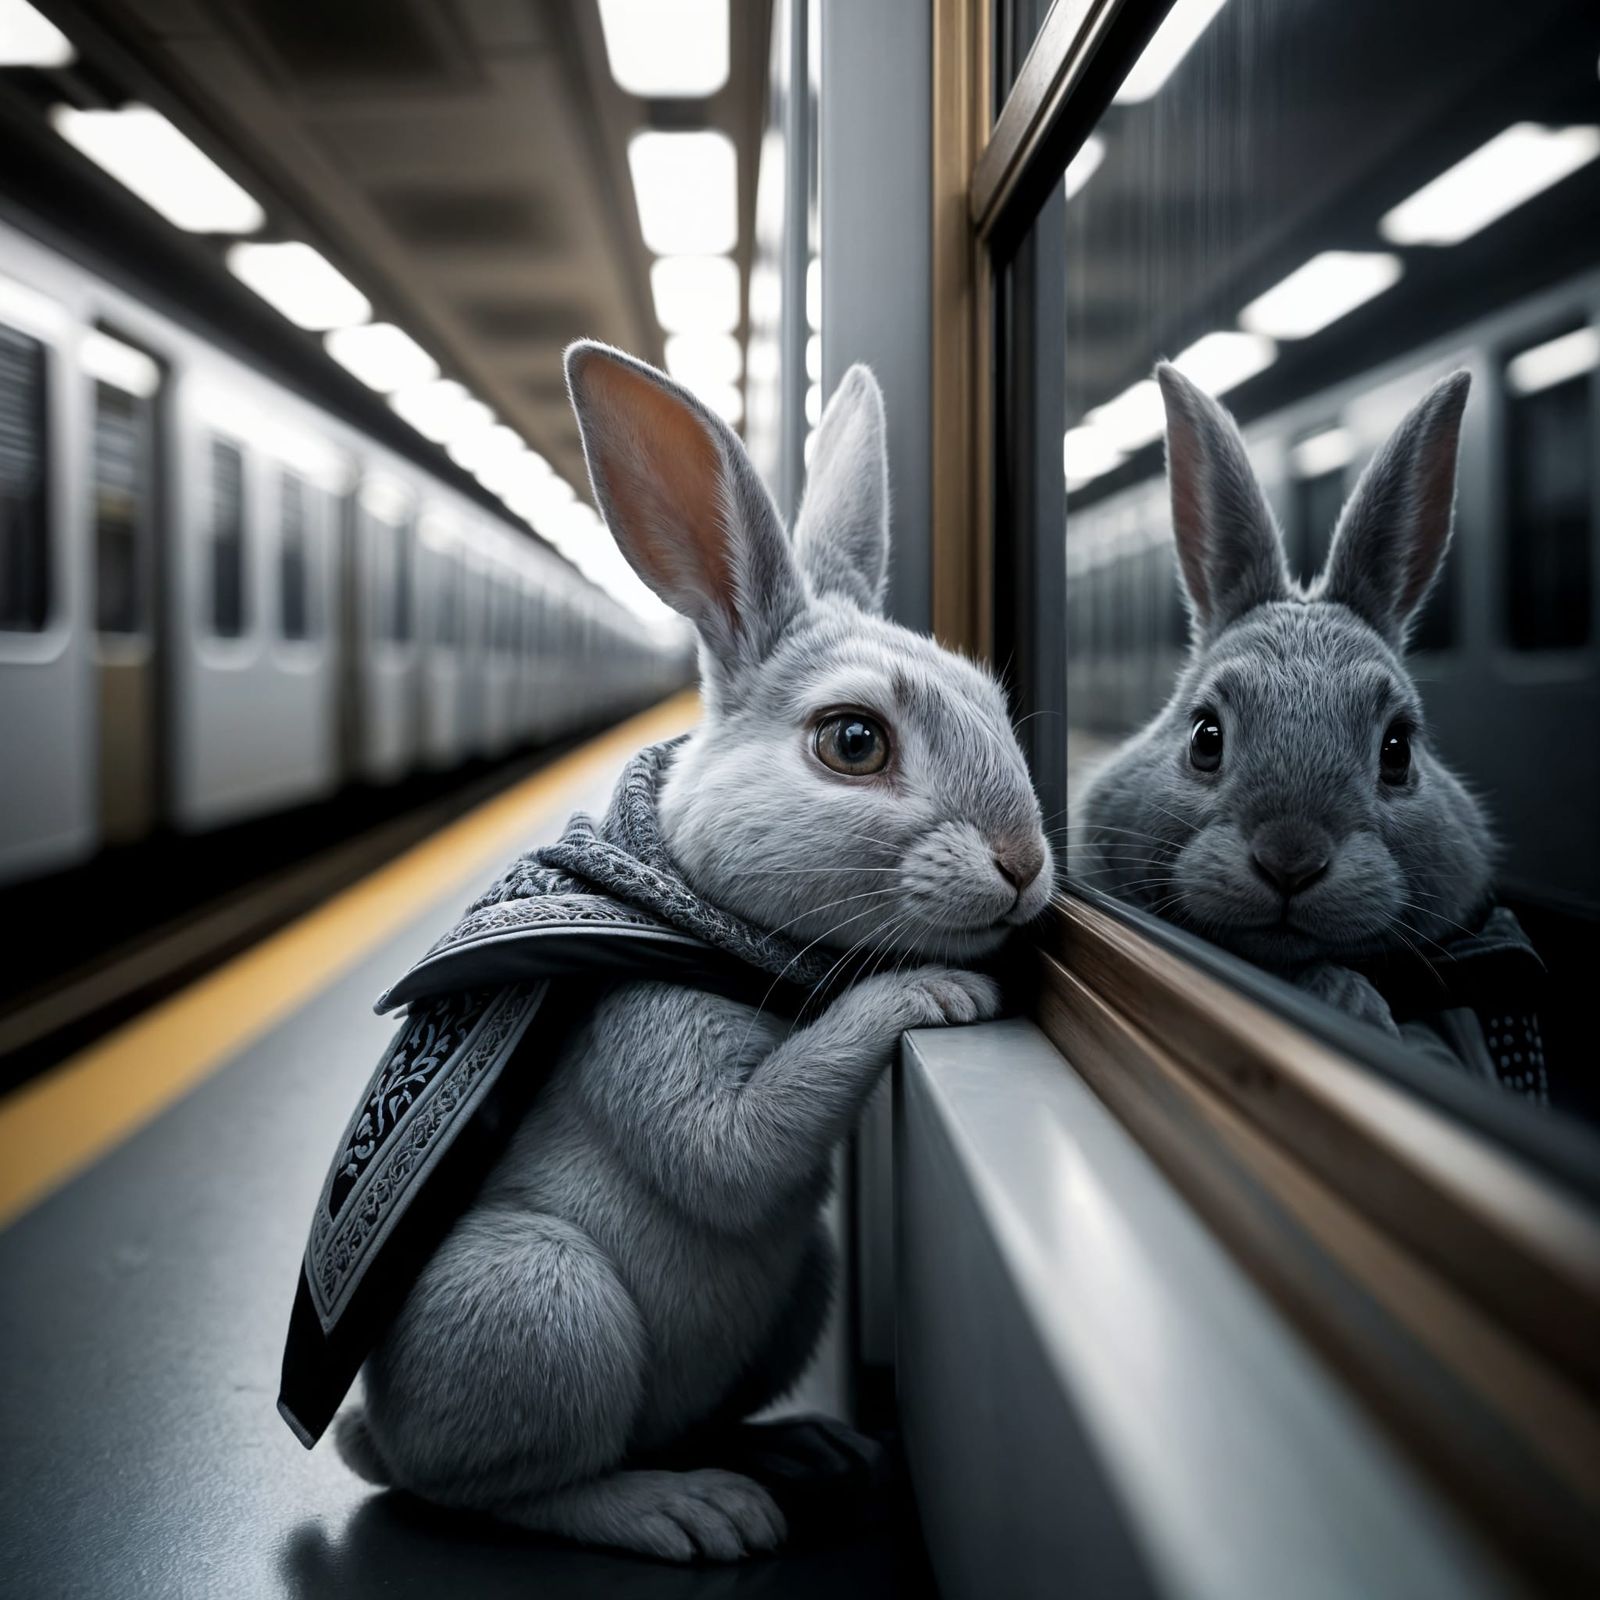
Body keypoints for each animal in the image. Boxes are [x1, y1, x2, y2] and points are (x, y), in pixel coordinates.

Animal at [333, 345, 1055, 1562]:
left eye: (995, 707)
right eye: (853, 740)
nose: (1025, 863)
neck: (704, 906)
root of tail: (368, 1431)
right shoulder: (653, 1035)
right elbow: (740, 1141)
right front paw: (939, 988)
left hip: (792, 1290)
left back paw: (798, 1449)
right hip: (540, 1297)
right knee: (497, 1488)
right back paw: (692, 1511)